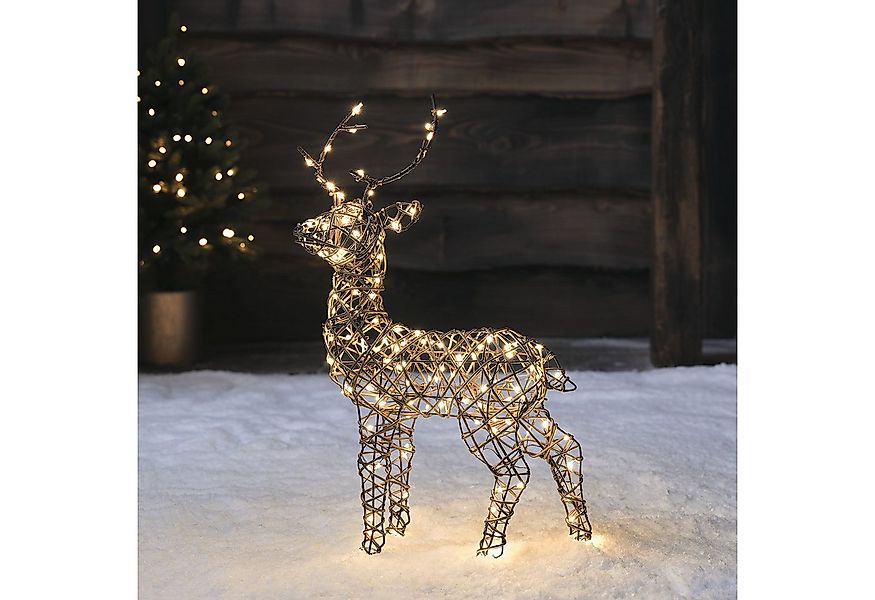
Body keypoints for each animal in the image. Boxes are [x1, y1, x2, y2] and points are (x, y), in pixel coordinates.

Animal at [292, 96, 592, 558]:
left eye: (352, 221)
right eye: (330, 208)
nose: (302, 228)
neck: (367, 330)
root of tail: (544, 360)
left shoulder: (378, 404)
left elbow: (370, 466)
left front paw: (372, 546)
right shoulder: (403, 414)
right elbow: (401, 460)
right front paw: (399, 530)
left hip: (487, 414)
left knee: (516, 470)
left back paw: (487, 550)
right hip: (529, 410)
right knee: (566, 446)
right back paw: (582, 535)